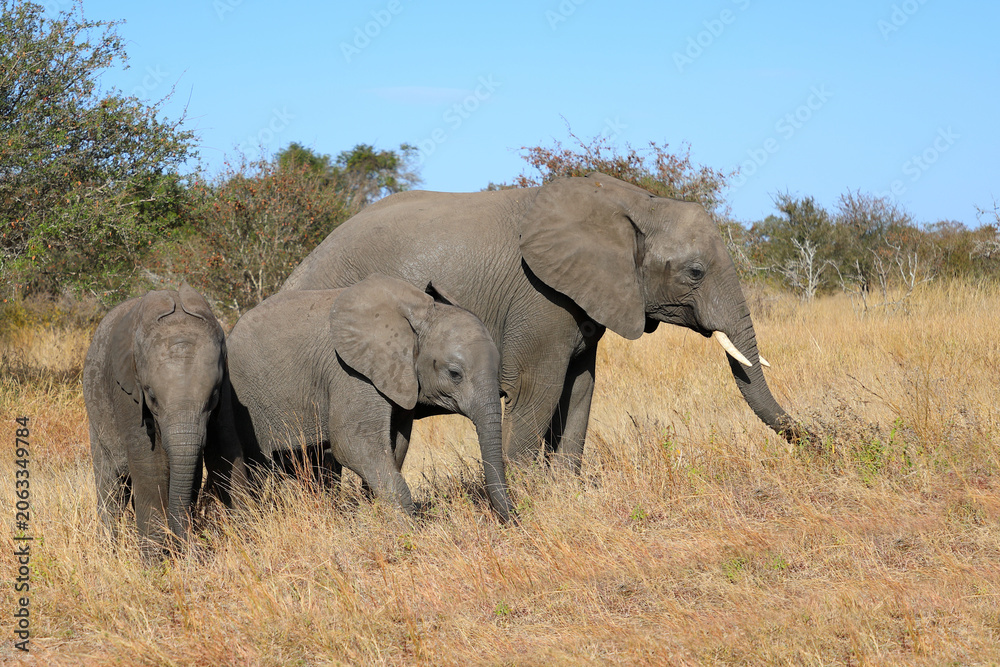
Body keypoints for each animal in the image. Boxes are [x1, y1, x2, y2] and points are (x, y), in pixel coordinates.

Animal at [83, 284, 244, 555]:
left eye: (213, 396)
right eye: (151, 396)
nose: (194, 547)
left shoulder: (227, 384)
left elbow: (225, 450)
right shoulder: (126, 392)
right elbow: (151, 465)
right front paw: (156, 562)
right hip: (95, 418)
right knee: (110, 488)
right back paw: (108, 551)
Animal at [225, 274, 514, 522]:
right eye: (455, 374)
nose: (510, 519)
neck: (418, 315)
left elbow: (396, 446)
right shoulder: (350, 372)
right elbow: (353, 444)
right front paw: (407, 530)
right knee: (256, 467)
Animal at [281, 172, 809, 471]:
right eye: (695, 272)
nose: (819, 443)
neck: (636, 203)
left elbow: (581, 388)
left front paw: (567, 490)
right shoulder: (539, 300)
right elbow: (539, 390)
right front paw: (529, 493)